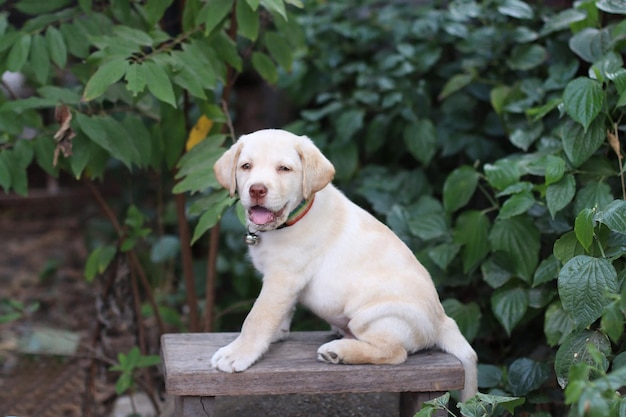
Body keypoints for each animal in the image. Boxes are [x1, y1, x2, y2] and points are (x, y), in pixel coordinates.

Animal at [210, 127, 478, 400]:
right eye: (246, 166)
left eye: (284, 169)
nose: (257, 190)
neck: (293, 218)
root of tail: (443, 320)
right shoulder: (281, 282)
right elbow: (280, 313)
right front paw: (277, 334)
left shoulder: (283, 277)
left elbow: (257, 317)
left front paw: (237, 353)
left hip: (373, 316)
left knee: (395, 353)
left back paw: (338, 352)